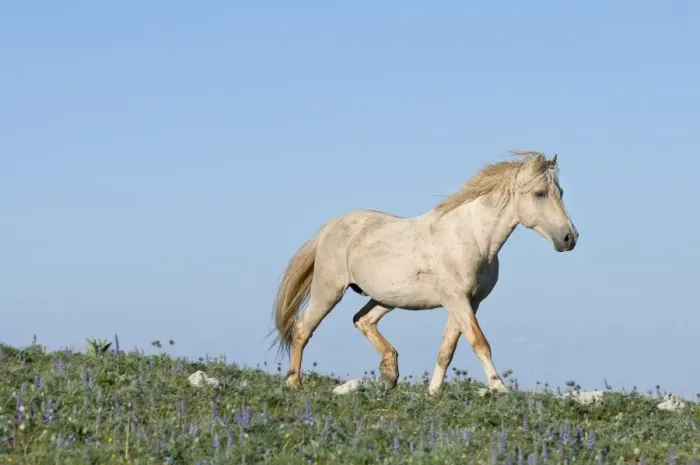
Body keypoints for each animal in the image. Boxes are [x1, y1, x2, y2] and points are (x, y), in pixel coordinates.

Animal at [270, 151, 578, 395]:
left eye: (561, 193)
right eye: (540, 193)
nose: (569, 238)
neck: (472, 237)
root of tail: (331, 225)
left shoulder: (469, 302)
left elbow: (447, 350)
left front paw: (433, 392)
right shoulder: (457, 299)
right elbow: (479, 343)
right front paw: (499, 387)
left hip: (387, 298)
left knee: (362, 320)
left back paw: (390, 373)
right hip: (329, 290)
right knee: (303, 328)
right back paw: (294, 383)